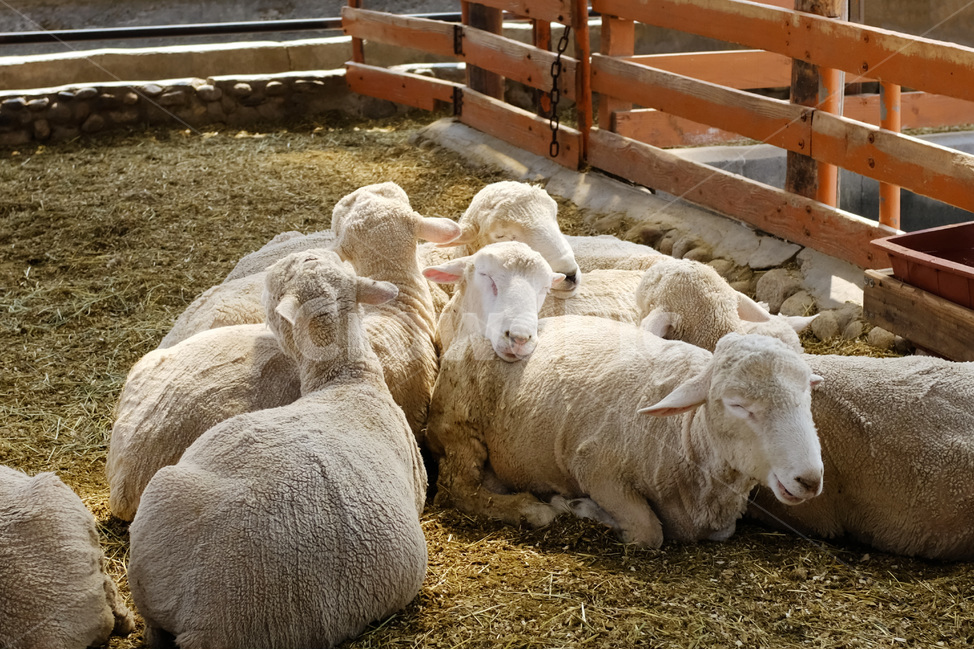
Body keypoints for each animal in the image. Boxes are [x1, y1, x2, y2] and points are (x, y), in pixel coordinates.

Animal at [426, 323, 825, 547]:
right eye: (737, 404)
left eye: (808, 393)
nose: (809, 479)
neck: (684, 434)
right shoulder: (595, 468)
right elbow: (648, 533)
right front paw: (577, 507)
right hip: (461, 424)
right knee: (458, 489)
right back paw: (529, 509)